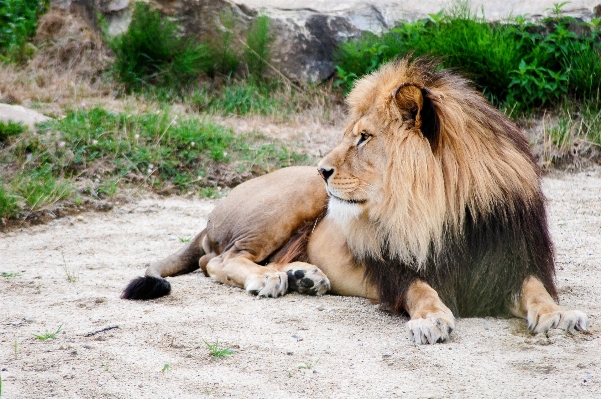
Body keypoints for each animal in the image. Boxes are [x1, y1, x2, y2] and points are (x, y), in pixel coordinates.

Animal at [122, 57, 584, 346]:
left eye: (363, 138)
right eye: (352, 134)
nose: (323, 168)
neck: (444, 209)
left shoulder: (507, 260)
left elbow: (536, 288)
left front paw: (558, 315)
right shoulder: (395, 269)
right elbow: (421, 289)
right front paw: (431, 319)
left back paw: (304, 276)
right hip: (292, 199)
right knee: (217, 260)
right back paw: (269, 279)